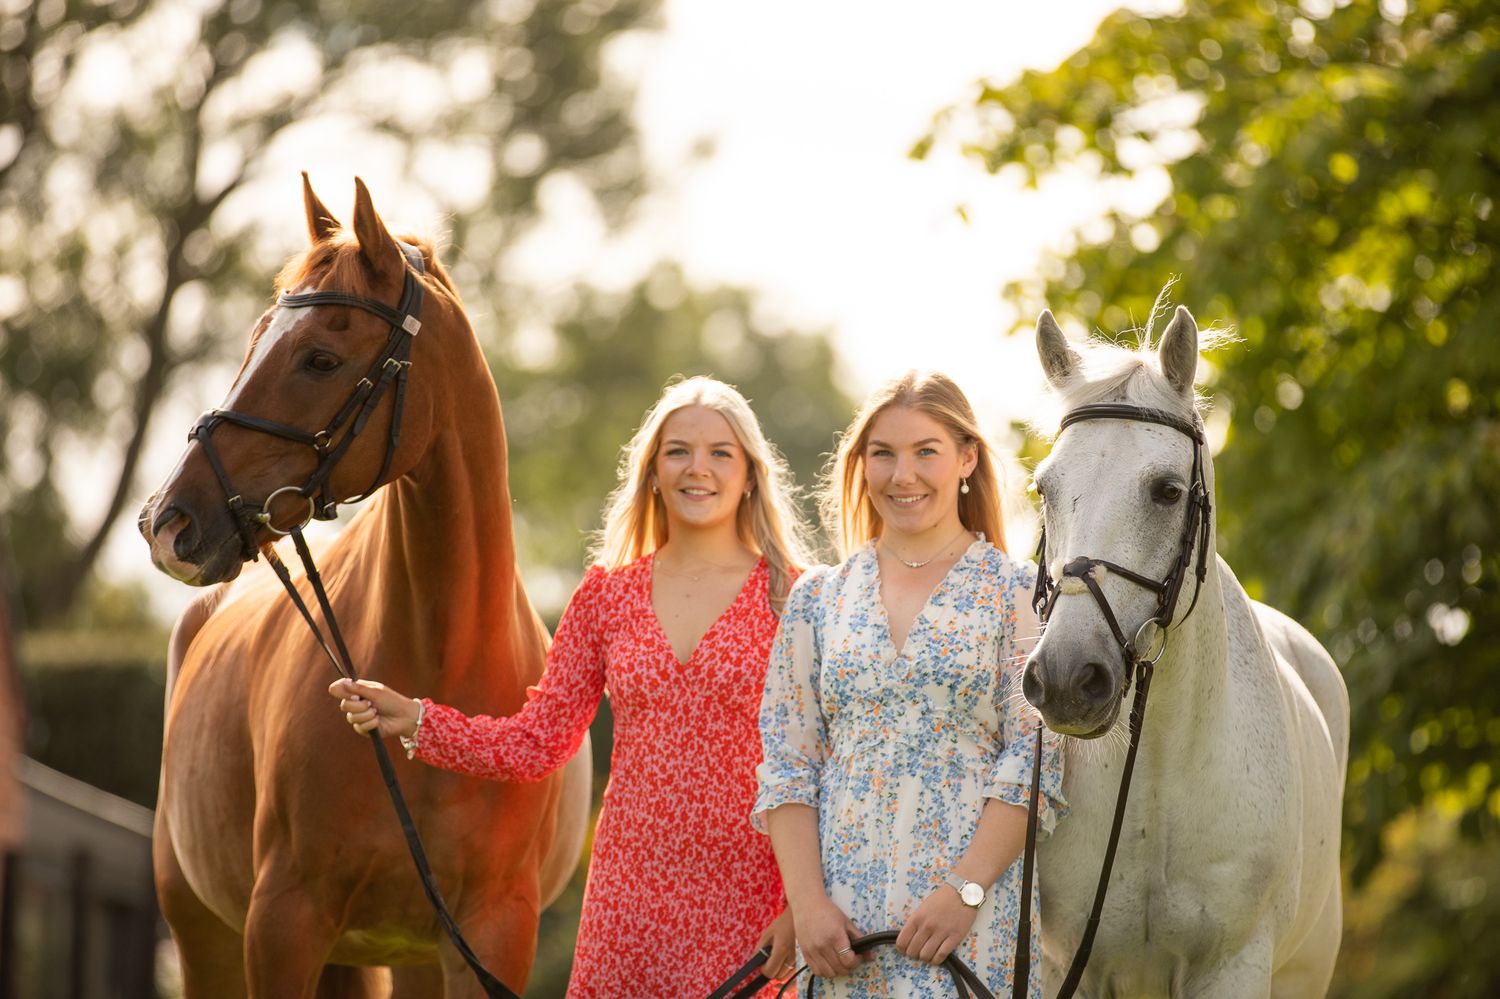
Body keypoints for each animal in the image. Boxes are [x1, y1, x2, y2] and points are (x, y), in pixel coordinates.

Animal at [138, 176, 591, 998]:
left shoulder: (490, 933)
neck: (441, 664)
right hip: (205, 936)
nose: (169, 522)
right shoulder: (283, 923)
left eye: (320, 358)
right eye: (256, 339)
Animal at [1022, 305, 1349, 997]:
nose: (1065, 680)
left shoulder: (1234, 966)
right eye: (1044, 490)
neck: (1153, 777)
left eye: (1168, 491)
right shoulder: (1069, 969)